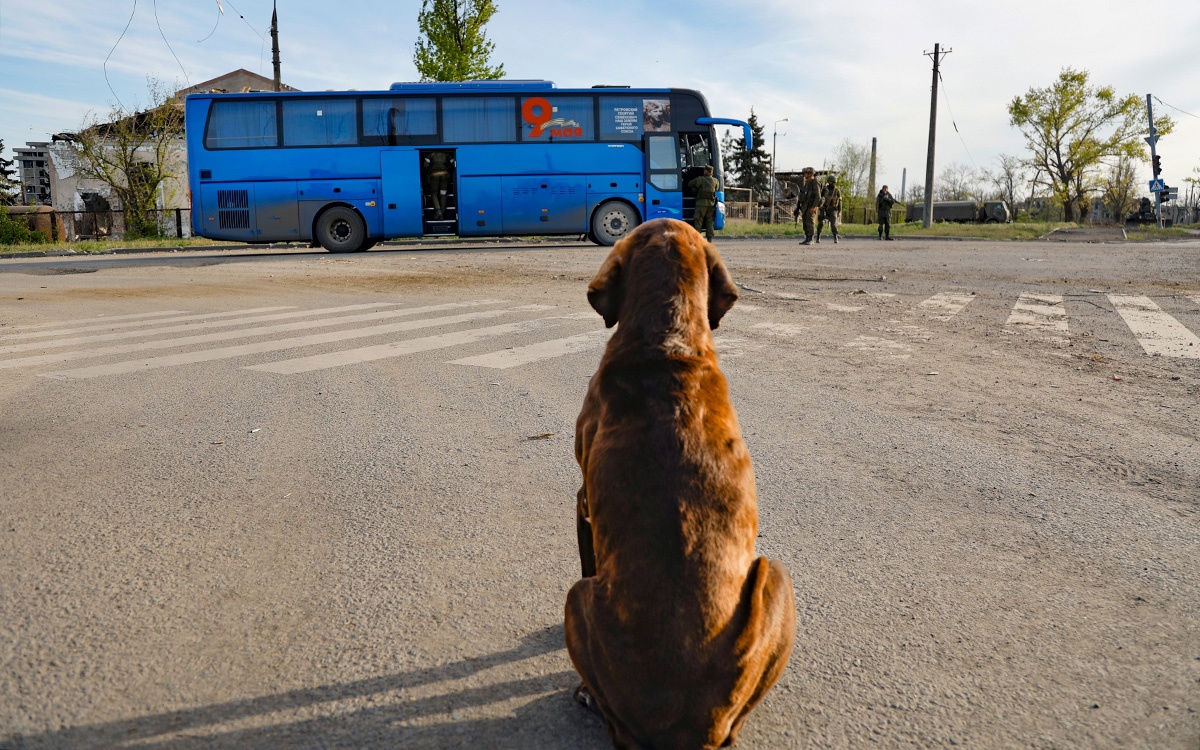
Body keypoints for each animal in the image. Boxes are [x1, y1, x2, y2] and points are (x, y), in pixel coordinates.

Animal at [564, 219, 796, 744]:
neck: (667, 340)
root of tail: (689, 728)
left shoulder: (582, 502)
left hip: (577, 597)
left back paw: (586, 695)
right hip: (776, 577)